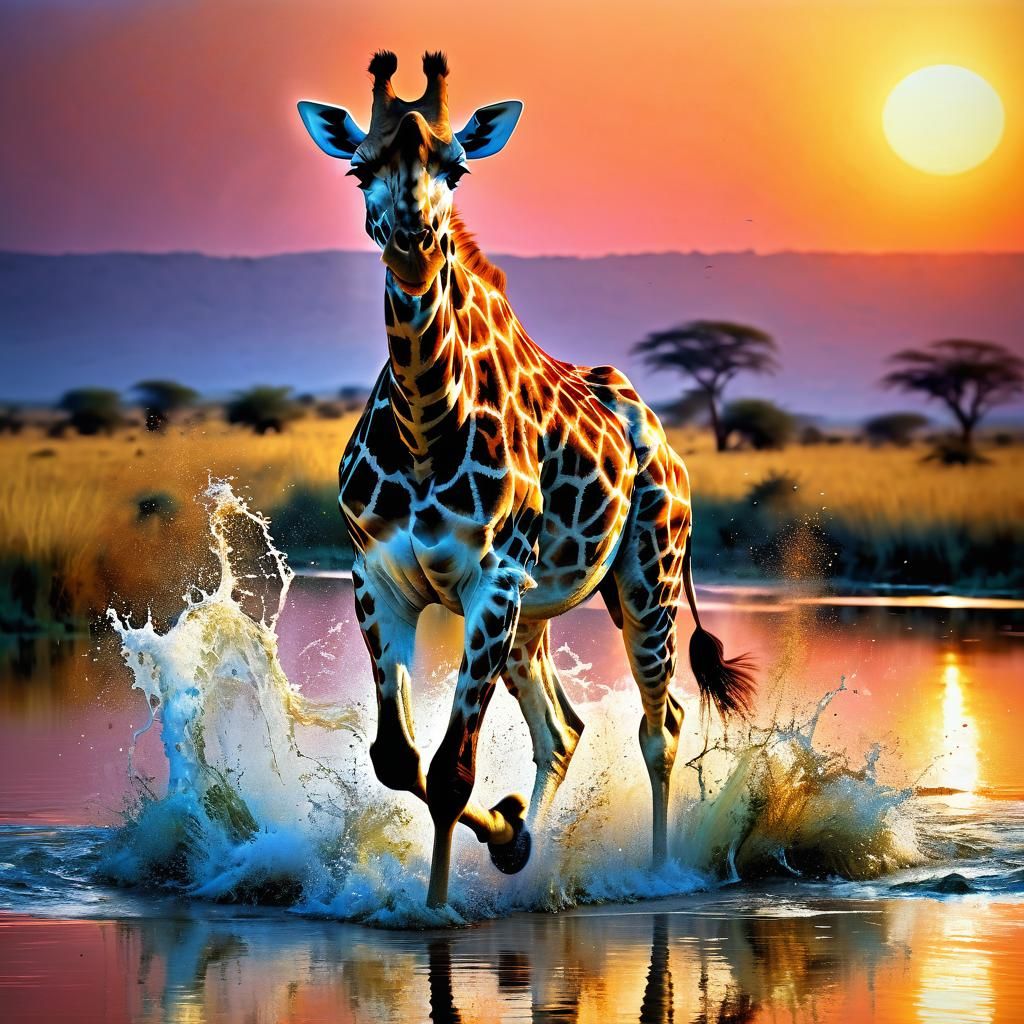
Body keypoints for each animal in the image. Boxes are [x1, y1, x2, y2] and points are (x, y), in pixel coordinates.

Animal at [297, 50, 755, 909]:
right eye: (359, 168)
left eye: (456, 166)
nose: (414, 238)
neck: (425, 429)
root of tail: (665, 444)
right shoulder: (378, 578)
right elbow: (399, 760)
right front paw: (509, 834)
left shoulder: (494, 580)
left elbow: (450, 771)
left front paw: (439, 907)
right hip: (534, 619)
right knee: (564, 728)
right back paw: (532, 849)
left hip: (645, 583)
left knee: (662, 723)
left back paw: (658, 872)